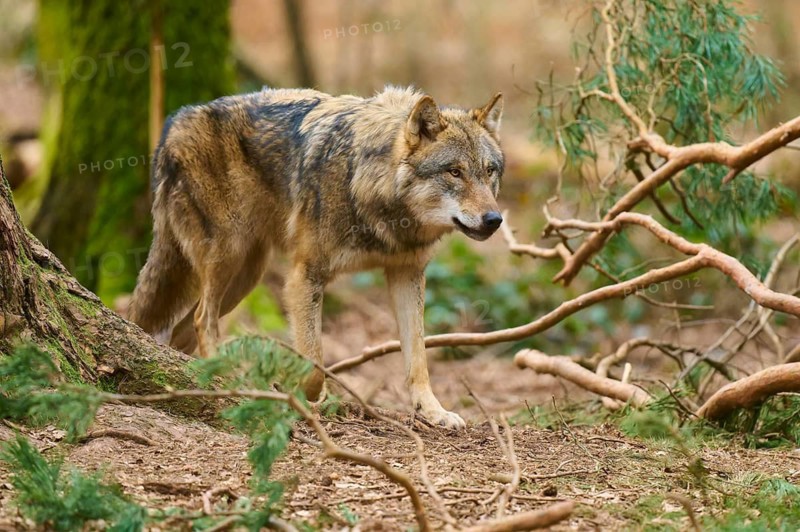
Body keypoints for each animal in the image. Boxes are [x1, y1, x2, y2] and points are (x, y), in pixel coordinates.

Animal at [128, 86, 504, 428]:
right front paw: (298, 396)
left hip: (245, 276)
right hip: (227, 257)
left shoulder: (407, 273)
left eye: (489, 171)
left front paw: (433, 412)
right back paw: (231, 382)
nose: (494, 220)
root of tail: (174, 123)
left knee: (182, 329)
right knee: (201, 319)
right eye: (454, 171)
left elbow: (418, 357)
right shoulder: (304, 276)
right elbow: (315, 367)